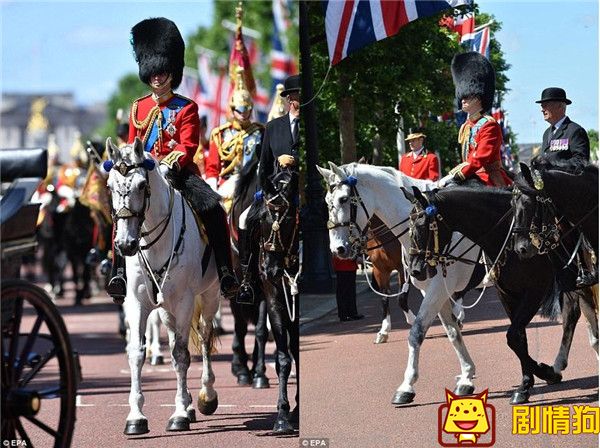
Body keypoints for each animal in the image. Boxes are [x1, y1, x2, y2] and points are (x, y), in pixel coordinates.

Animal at [107, 139, 220, 434]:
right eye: (110, 186)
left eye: (141, 186)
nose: (125, 245)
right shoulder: (136, 303)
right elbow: (136, 353)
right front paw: (135, 416)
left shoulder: (184, 301)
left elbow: (181, 355)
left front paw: (179, 413)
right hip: (167, 307)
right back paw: (191, 403)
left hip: (210, 295)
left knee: (204, 336)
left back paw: (206, 396)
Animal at [318, 163, 482, 404]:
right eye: (327, 201)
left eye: (343, 199)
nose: (337, 249)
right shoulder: (428, 289)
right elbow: (452, 333)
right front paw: (467, 376)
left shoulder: (436, 288)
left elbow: (416, 332)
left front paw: (407, 385)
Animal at [406, 184, 596, 404]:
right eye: (409, 226)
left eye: (424, 225)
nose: (415, 270)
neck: (505, 238)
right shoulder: (506, 294)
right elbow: (518, 337)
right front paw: (528, 382)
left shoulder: (535, 291)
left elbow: (513, 335)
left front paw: (538, 374)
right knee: (574, 313)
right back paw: (559, 363)